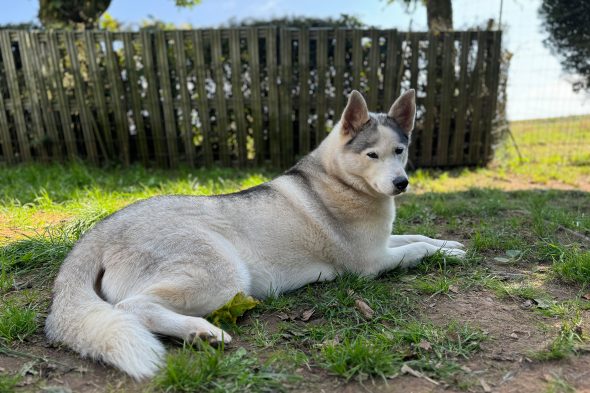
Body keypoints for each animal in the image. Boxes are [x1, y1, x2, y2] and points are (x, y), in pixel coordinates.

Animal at [45, 89, 468, 376]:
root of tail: (102, 228)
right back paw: (201, 332)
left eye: (399, 150)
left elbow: (418, 238)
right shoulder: (372, 262)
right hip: (224, 274)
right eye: (372, 155)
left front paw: (450, 244)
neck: (340, 181)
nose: (401, 183)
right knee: (130, 307)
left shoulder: (384, 243)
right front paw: (446, 253)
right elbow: (415, 250)